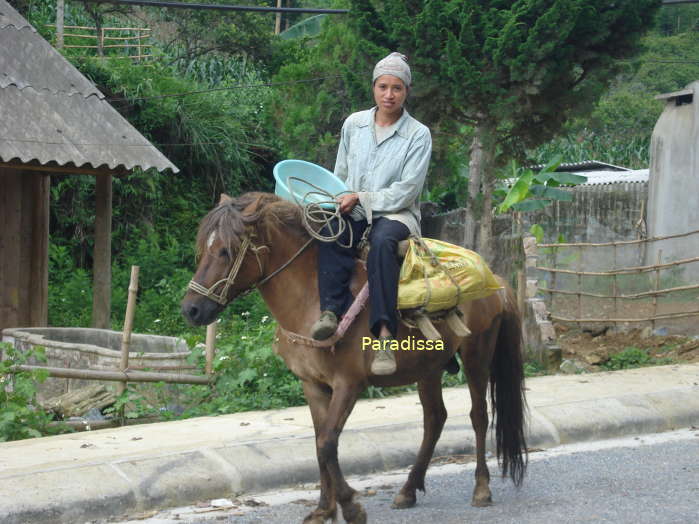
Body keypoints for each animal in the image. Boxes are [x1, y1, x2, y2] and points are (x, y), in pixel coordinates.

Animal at [183, 193, 528, 524]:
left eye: (226, 251)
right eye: (203, 249)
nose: (192, 310)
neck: (314, 297)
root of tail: (496, 280)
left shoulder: (348, 384)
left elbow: (327, 443)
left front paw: (350, 507)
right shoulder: (312, 384)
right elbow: (319, 442)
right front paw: (323, 510)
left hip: (476, 356)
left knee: (478, 415)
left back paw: (481, 489)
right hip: (428, 367)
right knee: (435, 418)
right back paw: (408, 490)